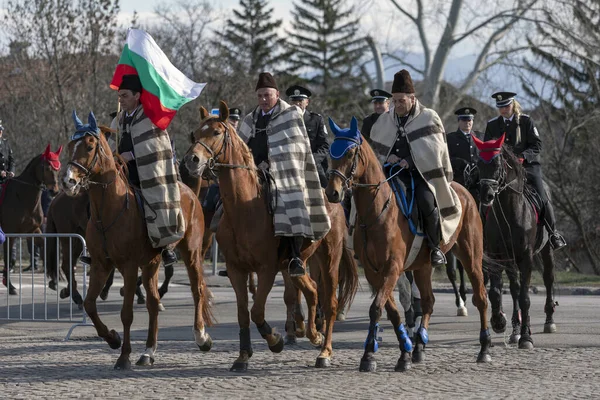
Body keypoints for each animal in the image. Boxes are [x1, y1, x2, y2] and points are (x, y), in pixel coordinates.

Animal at [0, 144, 62, 294]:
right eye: (47, 168)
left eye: (58, 169)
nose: (54, 191)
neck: (22, 196)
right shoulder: (10, 234)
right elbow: (8, 258)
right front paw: (10, 286)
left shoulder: (32, 230)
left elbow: (45, 247)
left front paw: (54, 280)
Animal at [62, 111, 213, 368]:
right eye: (71, 145)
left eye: (90, 146)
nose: (68, 181)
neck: (110, 209)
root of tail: (190, 192)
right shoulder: (101, 265)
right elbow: (90, 305)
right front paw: (112, 339)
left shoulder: (130, 267)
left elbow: (126, 313)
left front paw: (123, 356)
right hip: (151, 264)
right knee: (153, 303)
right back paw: (148, 352)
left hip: (191, 253)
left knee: (197, 290)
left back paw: (201, 337)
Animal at [184, 101, 356, 370]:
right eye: (195, 133)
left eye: (216, 132)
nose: (192, 160)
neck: (244, 207)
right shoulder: (236, 269)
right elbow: (243, 313)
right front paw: (243, 356)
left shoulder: (266, 269)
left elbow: (257, 311)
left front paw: (275, 340)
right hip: (298, 263)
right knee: (312, 291)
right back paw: (313, 335)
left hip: (329, 258)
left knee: (329, 301)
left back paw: (324, 351)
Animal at [326, 117, 490, 374]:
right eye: (331, 152)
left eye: (350, 152)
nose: (332, 193)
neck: (378, 210)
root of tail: (464, 192)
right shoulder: (375, 272)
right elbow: (391, 311)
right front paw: (402, 351)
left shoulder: (392, 268)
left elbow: (376, 308)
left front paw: (370, 355)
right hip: (423, 267)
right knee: (429, 301)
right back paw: (420, 347)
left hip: (471, 257)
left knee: (481, 298)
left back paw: (484, 349)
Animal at [474, 134, 556, 346]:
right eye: (479, 164)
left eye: (497, 164)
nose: (486, 195)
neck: (510, 212)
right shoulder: (496, 255)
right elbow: (496, 292)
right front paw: (498, 322)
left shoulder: (525, 258)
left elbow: (525, 297)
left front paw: (526, 337)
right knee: (514, 288)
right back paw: (515, 328)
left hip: (546, 250)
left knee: (548, 279)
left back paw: (548, 321)